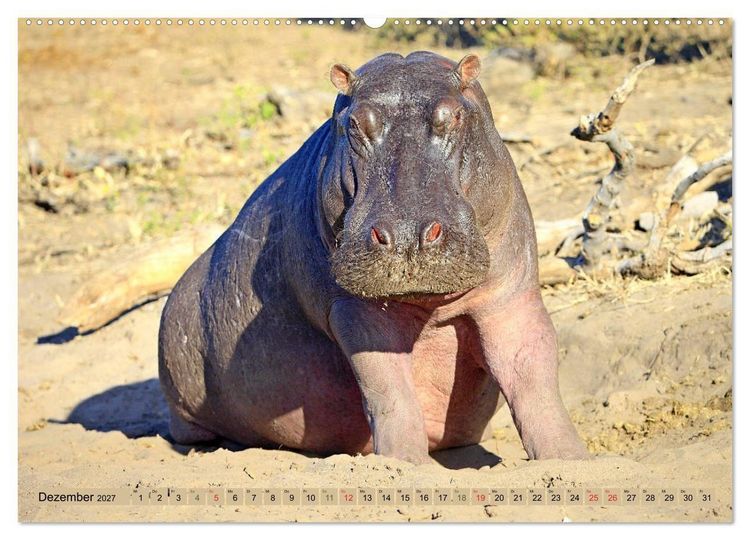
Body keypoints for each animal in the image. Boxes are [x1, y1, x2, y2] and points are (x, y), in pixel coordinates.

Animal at [158, 51, 588, 464]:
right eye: (353, 124)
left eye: (455, 115)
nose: (406, 235)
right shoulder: (353, 310)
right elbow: (388, 390)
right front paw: (404, 464)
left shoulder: (511, 297)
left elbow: (531, 373)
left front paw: (568, 458)